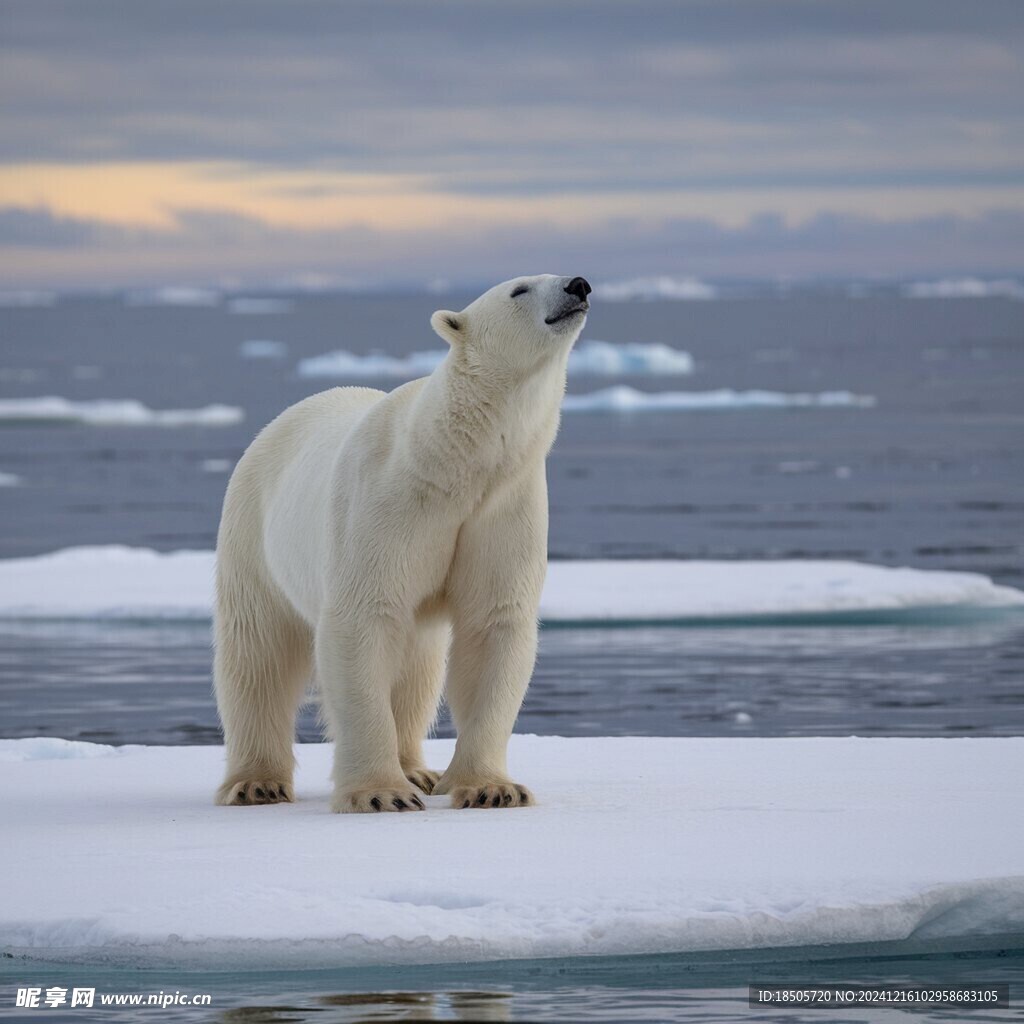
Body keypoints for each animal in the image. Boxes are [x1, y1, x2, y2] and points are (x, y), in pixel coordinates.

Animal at [214, 274, 593, 815]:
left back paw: (418, 770)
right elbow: (362, 621)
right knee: (257, 654)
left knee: (417, 670)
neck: (454, 463)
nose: (578, 285)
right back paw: (256, 783)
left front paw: (492, 788)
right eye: (520, 289)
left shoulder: (503, 507)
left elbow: (493, 625)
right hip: (253, 534)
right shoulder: (387, 505)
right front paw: (380, 793)